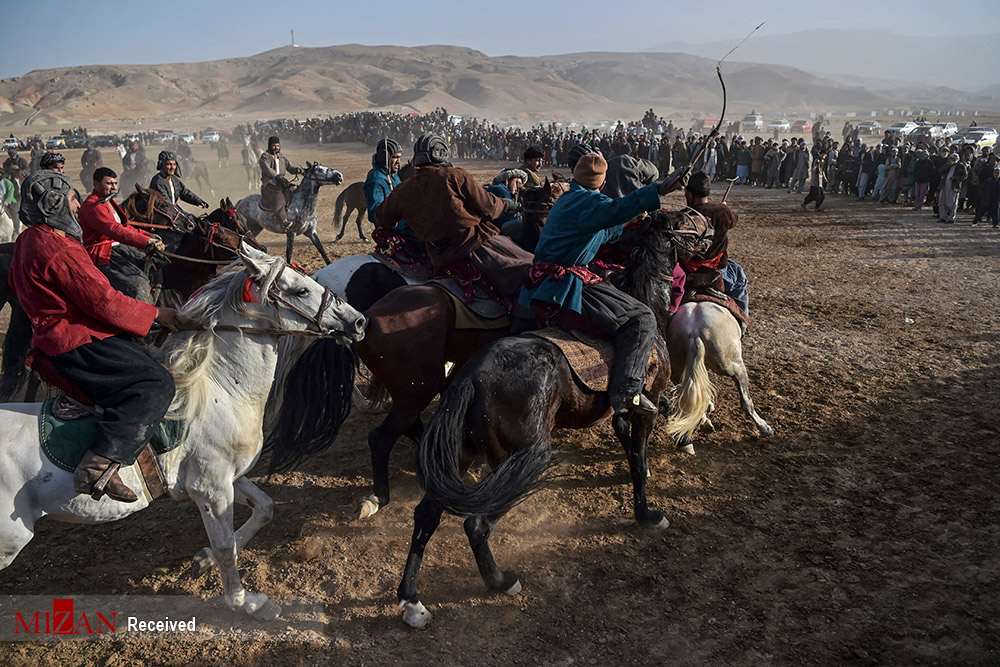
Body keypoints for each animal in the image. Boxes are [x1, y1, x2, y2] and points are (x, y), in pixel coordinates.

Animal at [0, 244, 366, 620]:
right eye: (302, 290)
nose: (358, 320)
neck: (220, 389)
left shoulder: (226, 478)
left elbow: (263, 508)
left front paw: (203, 560)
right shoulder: (210, 489)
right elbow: (225, 547)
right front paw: (247, 602)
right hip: (9, 542)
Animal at [672, 302, 772, 454]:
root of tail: (694, 330)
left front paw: (709, 406)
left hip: (678, 370)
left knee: (687, 397)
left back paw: (704, 424)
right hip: (734, 366)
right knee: (746, 401)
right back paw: (764, 427)